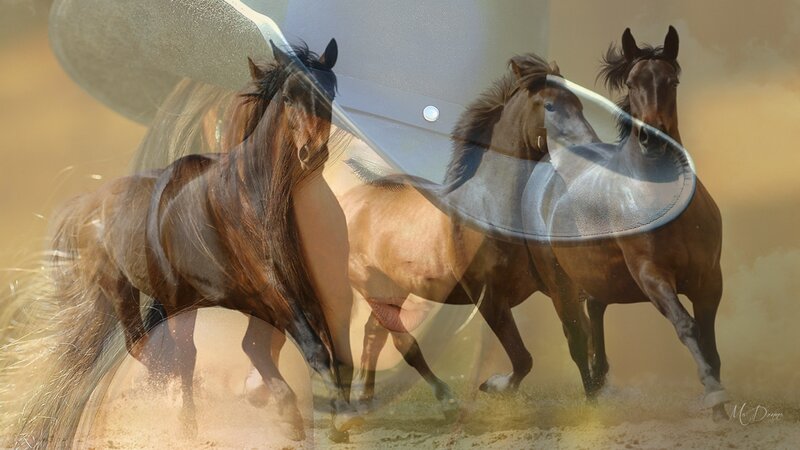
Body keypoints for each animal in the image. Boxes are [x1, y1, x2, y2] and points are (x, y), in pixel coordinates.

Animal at [11, 39, 362, 446]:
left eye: (331, 94)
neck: (248, 201)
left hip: (173, 299)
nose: (313, 153)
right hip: (127, 289)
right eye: (289, 97)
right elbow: (311, 349)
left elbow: (316, 349)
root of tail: (91, 203)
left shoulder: (289, 297)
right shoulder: (272, 292)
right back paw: (180, 414)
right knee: (155, 348)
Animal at [339, 53, 601, 416]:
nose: (592, 151)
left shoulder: (558, 287)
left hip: (395, 288)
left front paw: (595, 399)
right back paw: (443, 397)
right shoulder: (489, 297)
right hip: (372, 285)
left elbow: (578, 339)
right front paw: (494, 386)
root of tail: (352, 199)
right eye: (549, 105)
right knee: (402, 341)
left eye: (578, 103)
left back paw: (365, 399)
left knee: (373, 334)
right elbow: (523, 358)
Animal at [524, 26, 729, 421]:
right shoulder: (651, 275)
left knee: (595, 316)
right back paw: (591, 401)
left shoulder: (709, 278)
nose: (652, 138)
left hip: (596, 277)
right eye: (633, 83)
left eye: (672, 81)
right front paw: (713, 394)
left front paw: (721, 408)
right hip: (560, 283)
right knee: (576, 337)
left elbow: (711, 343)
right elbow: (687, 326)